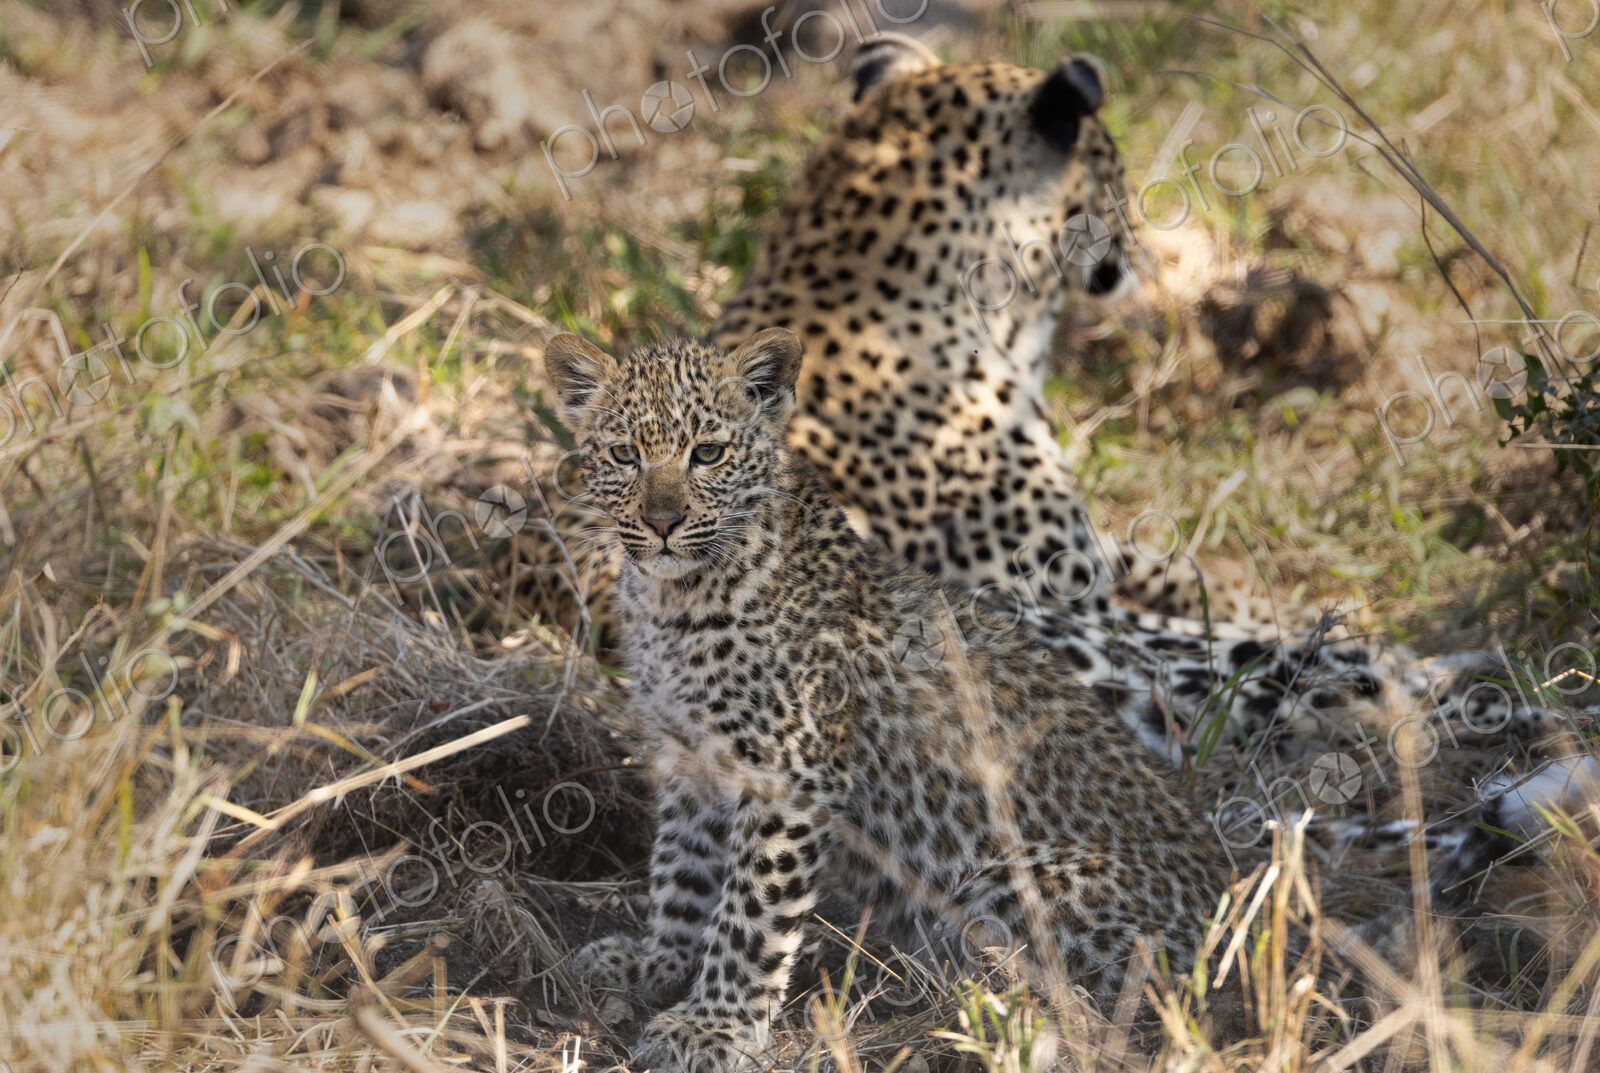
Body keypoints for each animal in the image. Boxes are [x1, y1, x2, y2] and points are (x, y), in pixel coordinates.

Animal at [544, 328, 1229, 1072]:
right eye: (624, 455)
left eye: (709, 453)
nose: (663, 522)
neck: (674, 600)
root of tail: (1224, 923)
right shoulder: (690, 757)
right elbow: (682, 874)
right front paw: (657, 964)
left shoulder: (789, 773)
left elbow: (750, 913)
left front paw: (715, 1025)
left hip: (1010, 879)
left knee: (1068, 999)